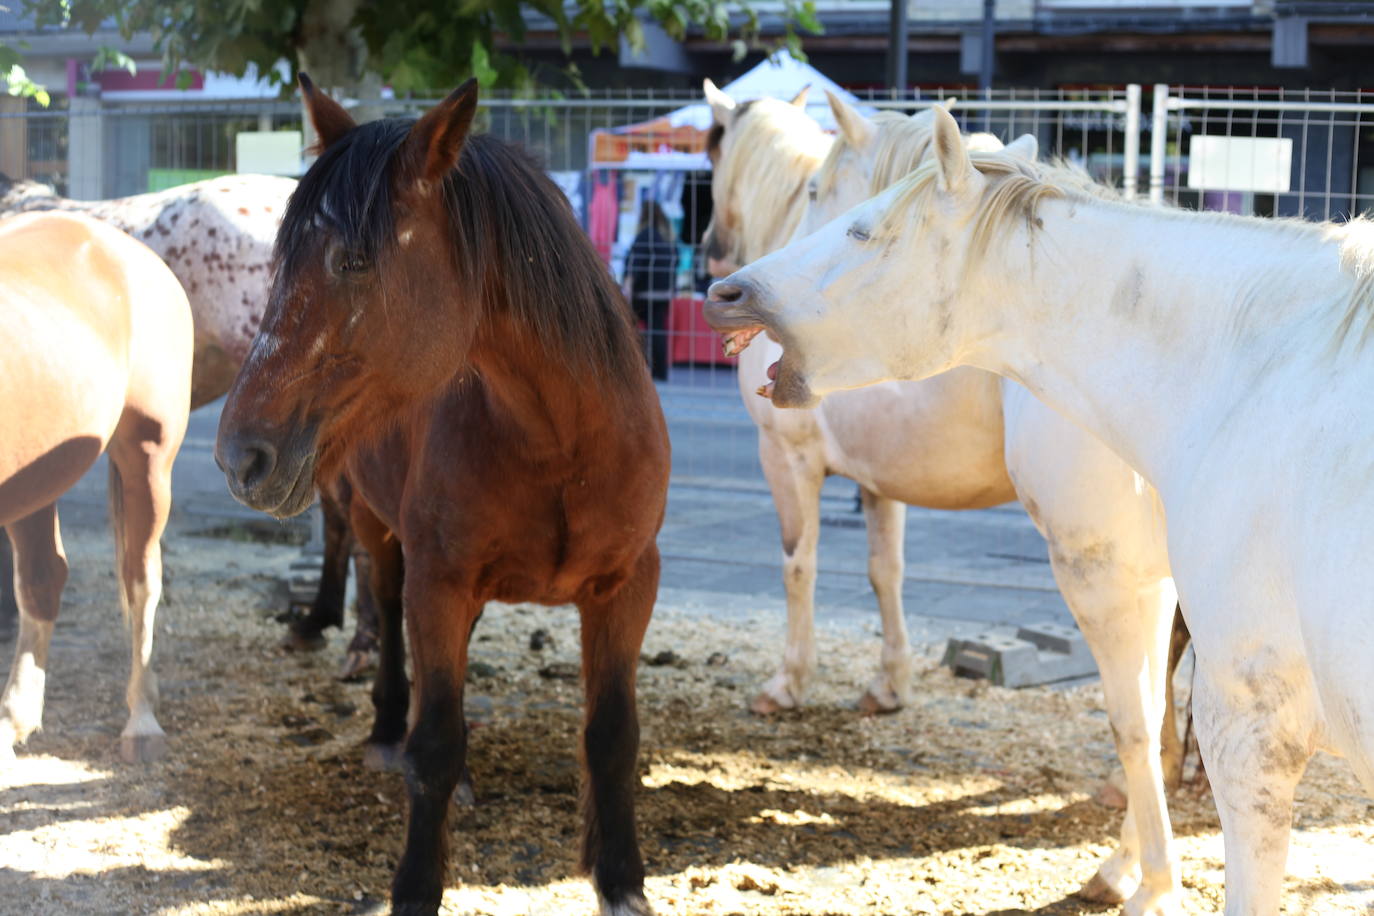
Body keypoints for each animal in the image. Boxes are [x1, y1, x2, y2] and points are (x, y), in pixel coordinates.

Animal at [211, 78, 673, 916]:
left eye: (354, 259)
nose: (239, 455)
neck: (560, 440)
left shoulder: (627, 587)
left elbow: (612, 735)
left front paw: (620, 878)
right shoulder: (440, 581)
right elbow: (435, 742)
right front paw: (416, 885)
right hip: (377, 528)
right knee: (386, 610)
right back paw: (384, 724)